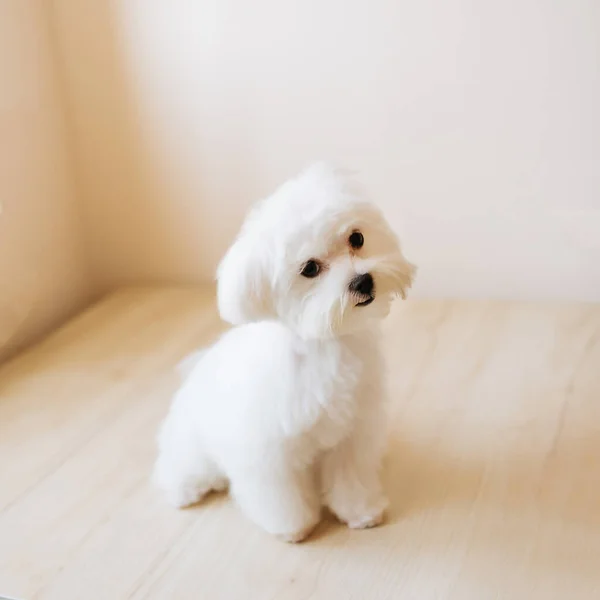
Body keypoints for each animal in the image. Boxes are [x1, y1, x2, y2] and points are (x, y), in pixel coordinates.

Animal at [155, 162, 414, 540]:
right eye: (310, 268)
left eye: (357, 238)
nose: (363, 281)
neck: (324, 345)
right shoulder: (267, 449)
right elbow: (278, 493)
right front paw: (293, 527)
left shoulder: (352, 433)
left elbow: (350, 477)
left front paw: (360, 511)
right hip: (192, 443)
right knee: (179, 464)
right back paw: (182, 489)